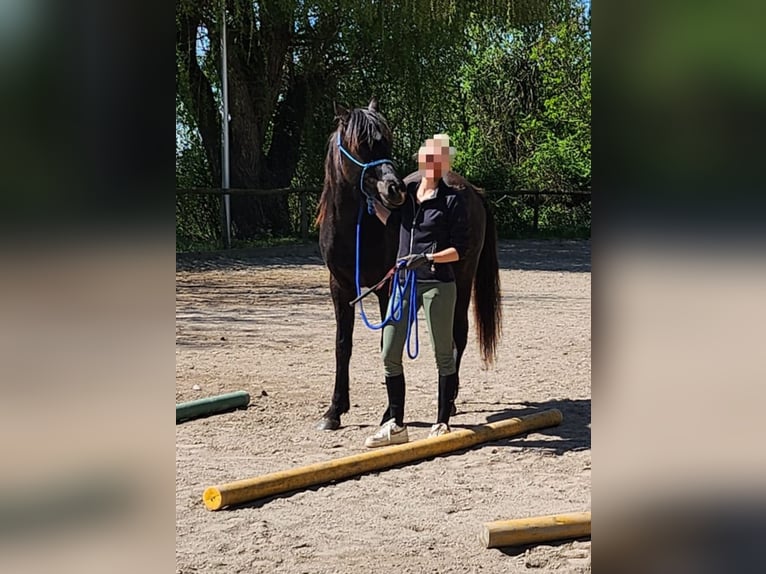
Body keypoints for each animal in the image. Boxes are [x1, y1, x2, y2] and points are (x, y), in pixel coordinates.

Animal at [316, 99, 502, 431]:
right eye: (360, 144)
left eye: (387, 141)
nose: (396, 190)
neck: (359, 229)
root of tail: (471, 189)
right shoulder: (340, 286)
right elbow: (343, 345)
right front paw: (334, 411)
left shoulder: (387, 287)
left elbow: (386, 341)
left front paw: (389, 412)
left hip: (462, 278)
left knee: (458, 333)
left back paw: (449, 401)